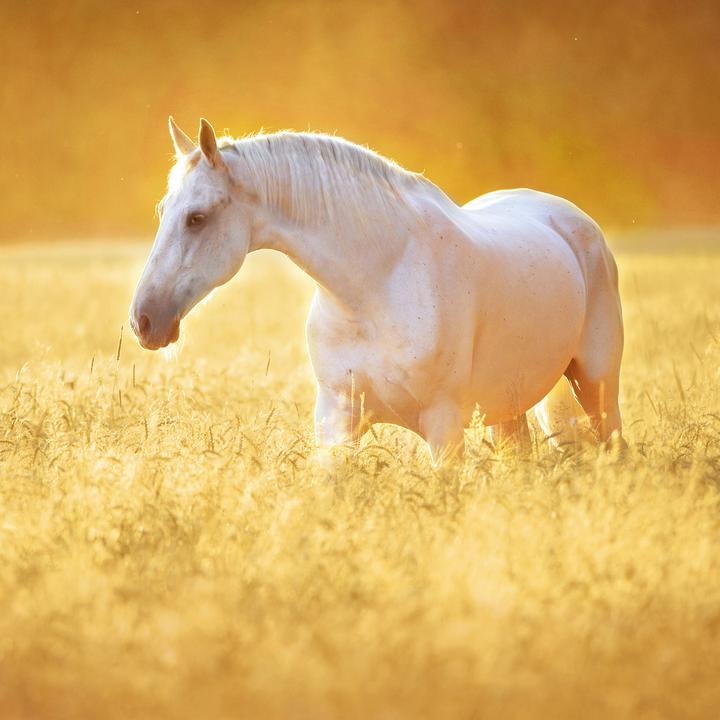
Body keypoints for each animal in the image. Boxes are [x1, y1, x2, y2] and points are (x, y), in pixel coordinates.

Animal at [129, 117, 625, 462]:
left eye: (196, 217)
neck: (375, 285)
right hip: (509, 408)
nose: (144, 320)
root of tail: (572, 219)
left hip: (596, 386)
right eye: (163, 210)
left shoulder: (445, 426)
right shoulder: (337, 418)